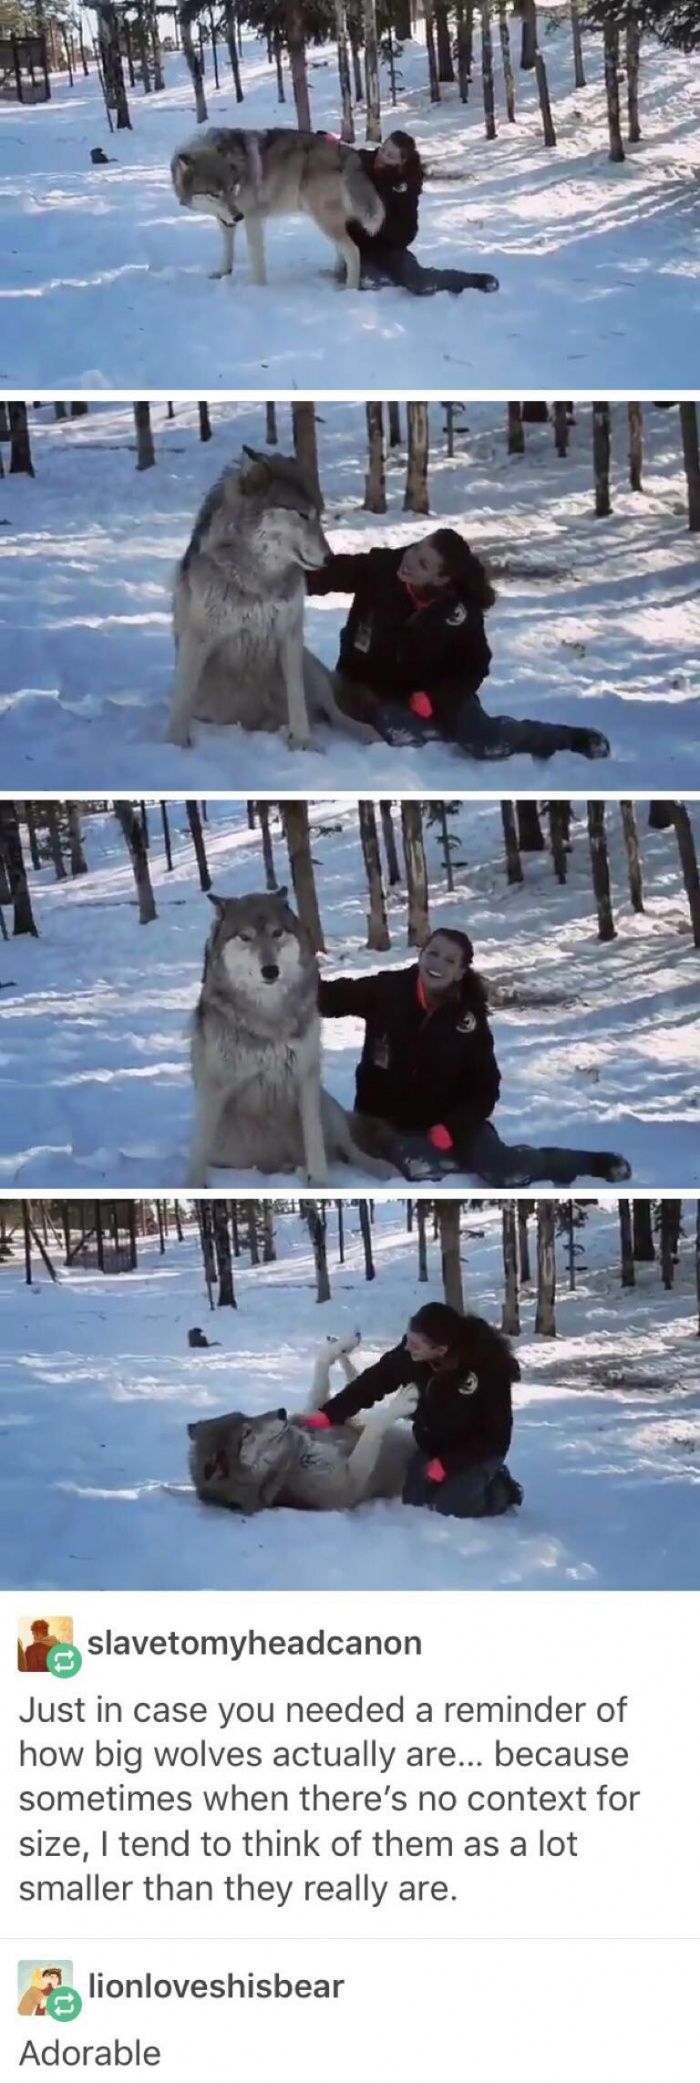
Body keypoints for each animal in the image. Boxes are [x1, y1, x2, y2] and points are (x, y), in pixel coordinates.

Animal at [167, 443, 379, 754]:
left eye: (319, 515)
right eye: (303, 515)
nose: (330, 559)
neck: (257, 578)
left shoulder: (290, 636)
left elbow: (297, 699)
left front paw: (303, 744)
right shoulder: (197, 639)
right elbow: (181, 701)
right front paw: (175, 745)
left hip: (310, 666)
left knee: (332, 712)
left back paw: (365, 732)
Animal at [171, 124, 385, 289]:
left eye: (232, 187)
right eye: (215, 194)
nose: (238, 217)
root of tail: (348, 150)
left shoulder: (253, 218)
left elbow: (255, 255)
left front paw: (258, 289)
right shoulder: (224, 219)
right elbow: (227, 249)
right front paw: (223, 272)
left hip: (322, 218)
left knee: (353, 251)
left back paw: (350, 289)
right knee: (342, 251)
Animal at [187, 1333, 416, 1516]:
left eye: (246, 1416)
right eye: (246, 1434)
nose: (282, 1412)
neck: (294, 1452)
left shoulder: (318, 1412)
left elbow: (322, 1363)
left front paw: (340, 1344)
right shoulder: (352, 1479)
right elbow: (375, 1425)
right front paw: (403, 1401)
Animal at [188, 887, 395, 1191]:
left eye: (277, 933)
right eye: (245, 937)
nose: (270, 970)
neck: (268, 1017)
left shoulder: (305, 1078)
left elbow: (314, 1141)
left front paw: (320, 1185)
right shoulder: (215, 1086)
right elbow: (199, 1149)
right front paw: (192, 1186)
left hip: (327, 1108)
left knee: (348, 1148)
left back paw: (379, 1169)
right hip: (228, 1150)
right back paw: (292, 1170)